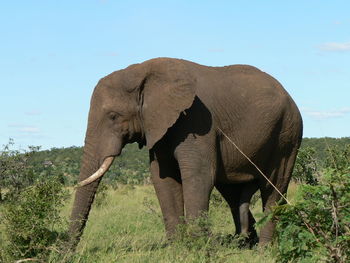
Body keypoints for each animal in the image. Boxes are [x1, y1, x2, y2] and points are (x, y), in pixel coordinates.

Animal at [69, 57, 304, 250]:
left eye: (113, 116)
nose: (67, 252)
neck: (143, 71)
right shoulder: (161, 125)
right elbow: (162, 179)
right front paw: (178, 248)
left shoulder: (196, 120)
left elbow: (198, 175)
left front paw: (199, 248)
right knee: (232, 192)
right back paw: (244, 243)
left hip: (287, 134)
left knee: (273, 187)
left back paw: (263, 249)